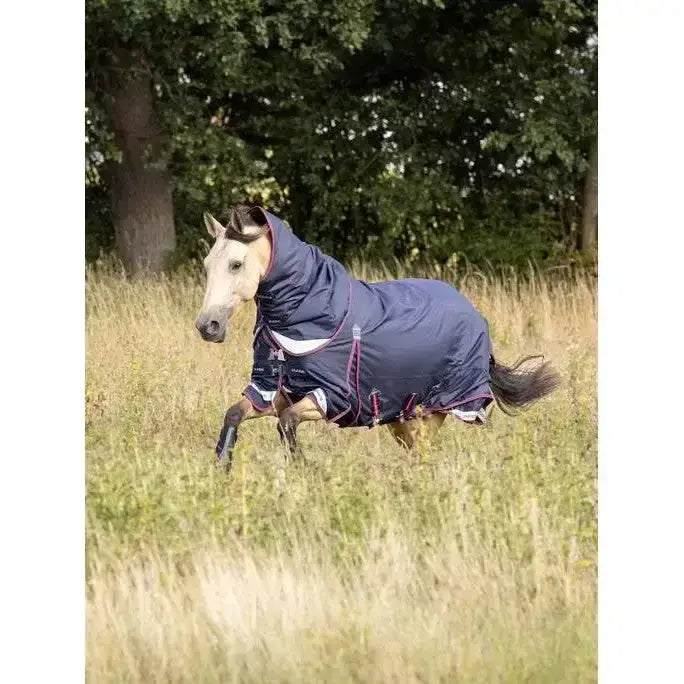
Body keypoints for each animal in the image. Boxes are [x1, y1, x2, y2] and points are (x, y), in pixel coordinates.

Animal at [195, 204, 559, 470]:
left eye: (236, 264)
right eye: (207, 264)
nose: (207, 326)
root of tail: (476, 315)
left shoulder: (330, 397)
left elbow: (287, 423)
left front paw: (302, 471)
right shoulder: (272, 391)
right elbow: (235, 414)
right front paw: (222, 467)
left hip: (435, 410)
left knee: (423, 453)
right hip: (401, 417)